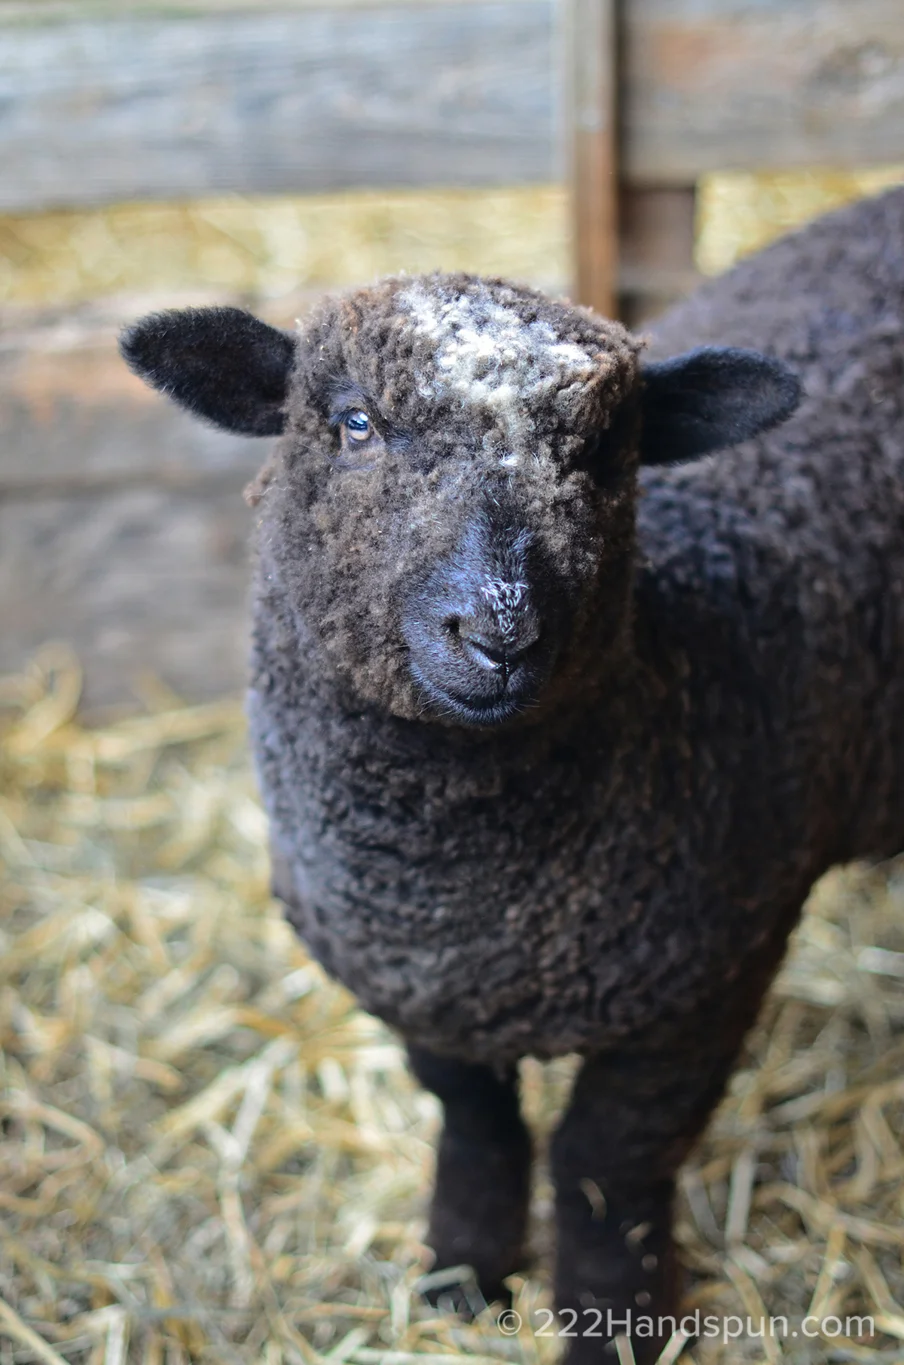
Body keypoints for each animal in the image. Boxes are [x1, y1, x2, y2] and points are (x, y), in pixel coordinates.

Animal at [120, 184, 904, 1363]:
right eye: (354, 422)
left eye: (606, 455)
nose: (499, 632)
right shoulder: (419, 986)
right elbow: (478, 1125)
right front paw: (460, 1278)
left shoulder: (704, 981)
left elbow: (604, 1166)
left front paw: (615, 1324)